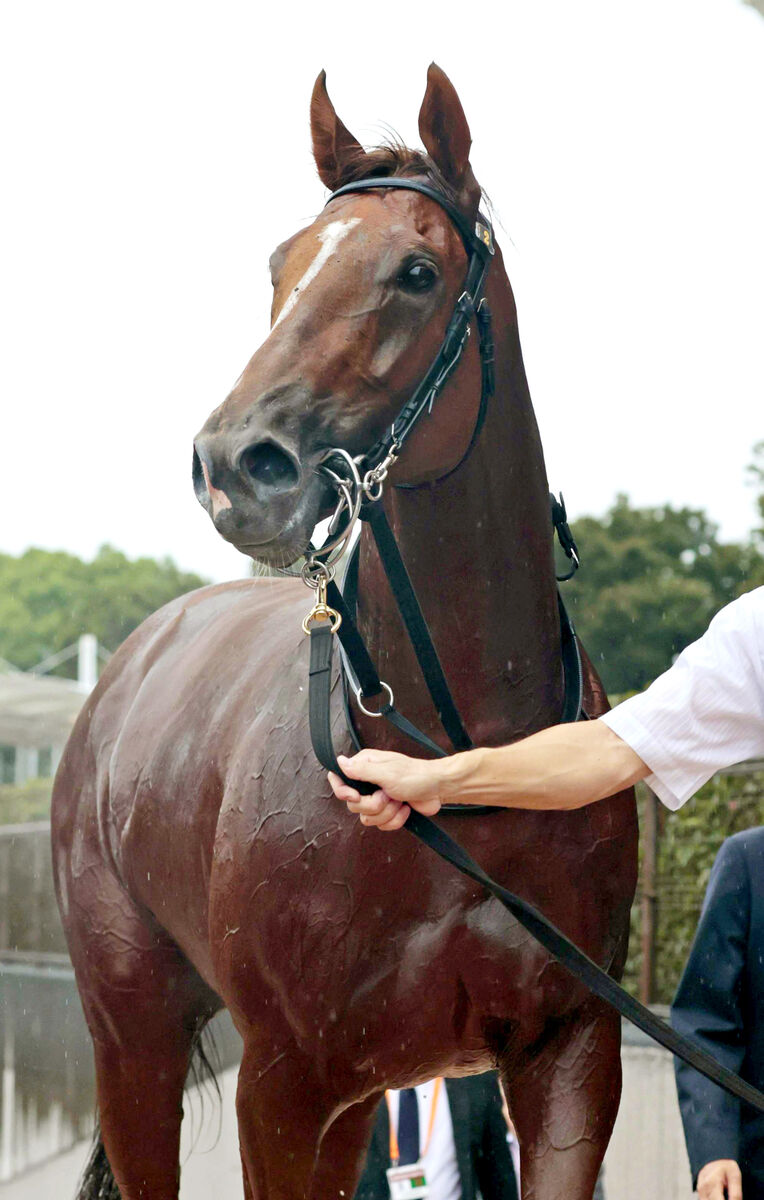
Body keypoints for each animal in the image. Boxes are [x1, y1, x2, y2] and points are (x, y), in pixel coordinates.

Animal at [52, 68, 638, 1200]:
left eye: (416, 271)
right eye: (280, 265)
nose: (237, 465)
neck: (463, 757)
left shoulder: (571, 1055)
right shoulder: (283, 1083)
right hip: (131, 1035)